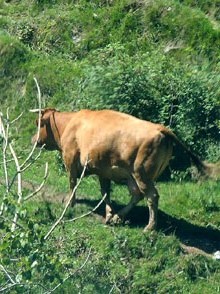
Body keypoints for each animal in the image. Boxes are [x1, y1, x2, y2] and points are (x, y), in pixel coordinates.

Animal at [31, 109, 210, 231]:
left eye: (39, 123)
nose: (33, 139)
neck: (70, 124)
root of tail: (160, 128)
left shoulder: (70, 160)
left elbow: (72, 184)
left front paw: (70, 203)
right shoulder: (103, 170)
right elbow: (105, 192)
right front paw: (110, 213)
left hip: (141, 174)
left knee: (151, 196)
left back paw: (150, 227)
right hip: (133, 176)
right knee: (137, 195)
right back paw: (119, 217)